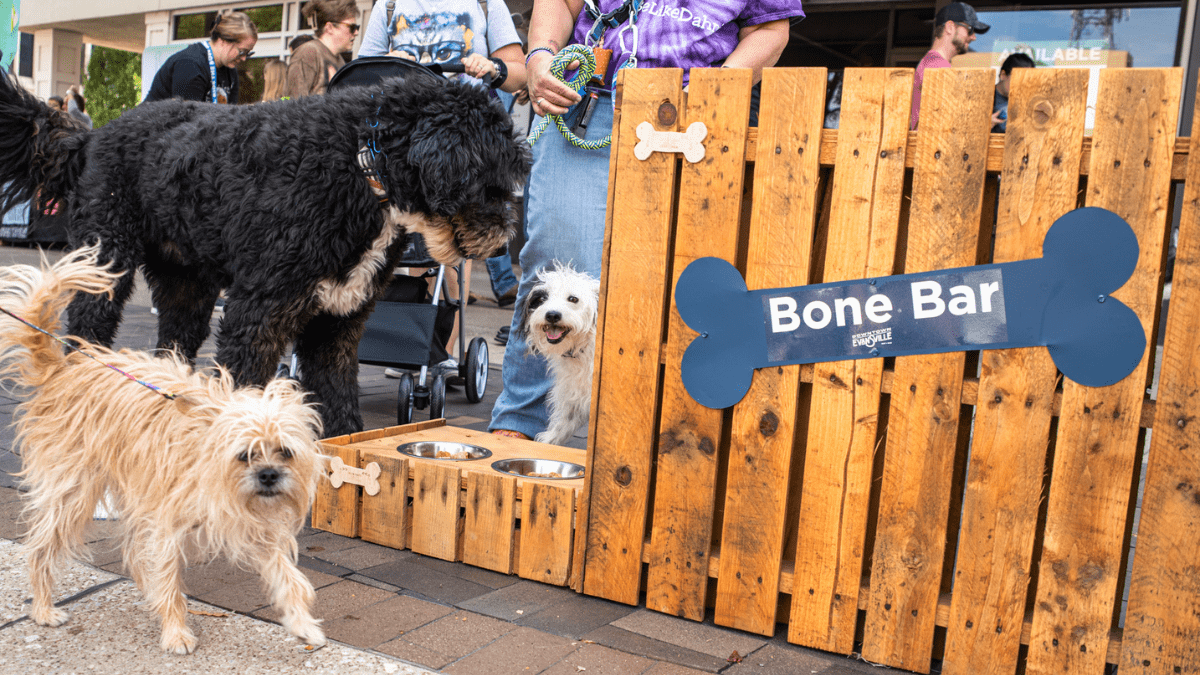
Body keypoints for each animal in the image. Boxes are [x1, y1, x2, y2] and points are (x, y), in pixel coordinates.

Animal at [0, 69, 525, 437]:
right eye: (492, 184)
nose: (506, 241)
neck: (359, 166)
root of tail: (93, 136)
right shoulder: (260, 313)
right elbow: (247, 385)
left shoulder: (337, 320)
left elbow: (338, 397)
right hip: (106, 260)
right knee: (87, 328)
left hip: (187, 287)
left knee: (173, 344)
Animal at [0, 243, 328, 648]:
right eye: (244, 455)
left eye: (285, 452)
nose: (268, 476)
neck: (208, 458)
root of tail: (64, 369)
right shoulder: (167, 522)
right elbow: (167, 573)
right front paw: (175, 631)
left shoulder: (251, 524)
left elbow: (288, 577)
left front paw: (302, 623)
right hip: (73, 491)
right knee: (43, 548)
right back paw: (44, 608)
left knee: (132, 550)